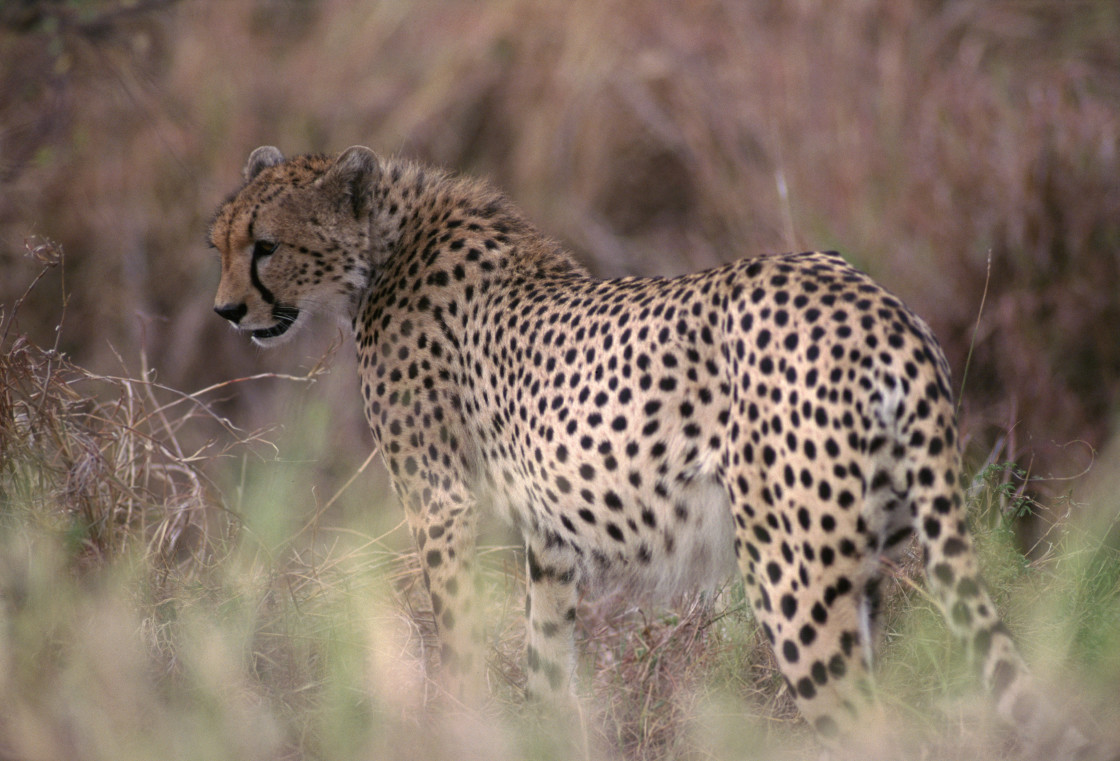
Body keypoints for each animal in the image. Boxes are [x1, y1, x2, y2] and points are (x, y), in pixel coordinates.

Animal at [210, 144, 1093, 757]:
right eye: (219, 241)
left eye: (266, 244)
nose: (224, 311)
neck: (385, 244)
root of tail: (877, 304)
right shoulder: (549, 534)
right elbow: (547, 654)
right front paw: (545, 730)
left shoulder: (443, 505)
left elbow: (457, 637)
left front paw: (456, 722)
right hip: (872, 554)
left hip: (793, 571)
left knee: (866, 721)